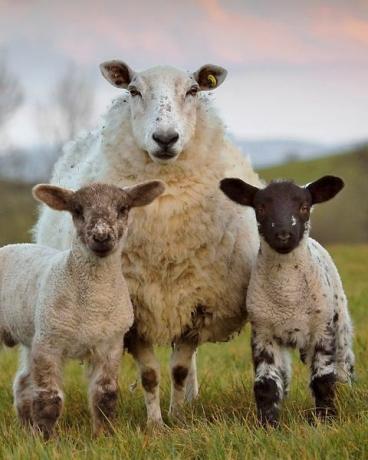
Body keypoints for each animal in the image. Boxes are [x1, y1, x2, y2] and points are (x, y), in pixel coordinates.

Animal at [0, 180, 164, 438]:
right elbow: (49, 398)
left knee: (23, 382)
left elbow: (105, 394)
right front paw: (46, 439)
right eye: (77, 210)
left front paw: (104, 435)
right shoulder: (49, 342)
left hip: (31, 334)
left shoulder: (110, 344)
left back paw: (26, 427)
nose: (101, 236)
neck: (93, 305)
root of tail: (13, 245)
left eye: (123, 209)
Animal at [32, 61, 262, 428]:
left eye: (193, 90)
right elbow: (150, 375)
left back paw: (191, 399)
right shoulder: (134, 311)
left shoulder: (197, 304)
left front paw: (178, 417)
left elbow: (179, 368)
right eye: (134, 91)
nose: (165, 138)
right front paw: (155, 424)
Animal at [220, 174, 356, 426]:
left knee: (344, 367)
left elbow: (323, 379)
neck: (288, 296)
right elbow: (266, 385)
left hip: (339, 322)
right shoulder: (263, 333)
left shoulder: (323, 330)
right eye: (261, 208)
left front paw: (326, 420)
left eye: (304, 207)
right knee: (284, 376)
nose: (283, 235)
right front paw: (268, 425)